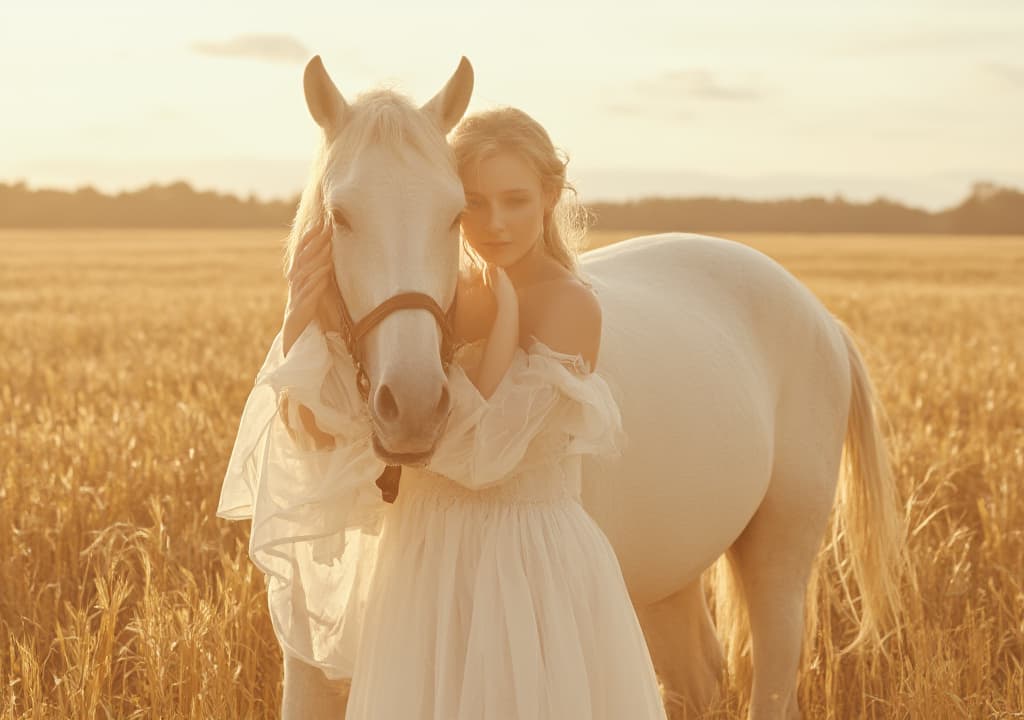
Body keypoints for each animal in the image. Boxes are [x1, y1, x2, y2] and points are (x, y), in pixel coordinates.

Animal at [278, 56, 905, 720]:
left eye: (453, 213)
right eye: (341, 217)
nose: (416, 405)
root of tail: (819, 314)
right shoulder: (308, 656)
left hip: (781, 554)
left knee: (774, 672)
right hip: (668, 574)